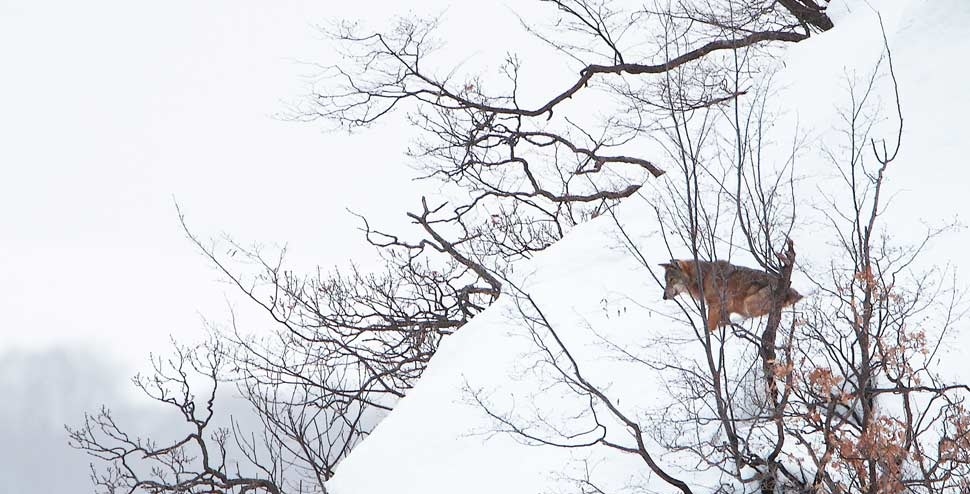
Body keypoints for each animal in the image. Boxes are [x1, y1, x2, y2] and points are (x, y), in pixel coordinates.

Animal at [659, 259, 802, 331]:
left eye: (671, 280)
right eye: (666, 281)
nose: (664, 297)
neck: (703, 278)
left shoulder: (715, 305)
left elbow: (710, 326)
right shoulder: (724, 308)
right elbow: (723, 322)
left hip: (748, 303)